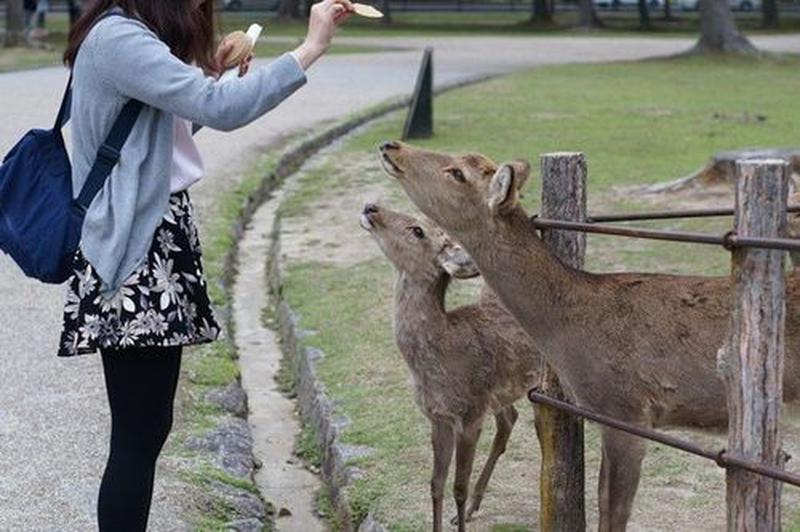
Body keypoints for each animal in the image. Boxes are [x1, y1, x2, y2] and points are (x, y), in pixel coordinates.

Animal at [360, 204, 544, 532]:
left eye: (418, 230)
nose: (371, 208)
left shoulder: (470, 414)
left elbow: (458, 487)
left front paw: (459, 510)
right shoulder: (438, 417)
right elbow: (435, 484)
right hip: (499, 394)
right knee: (509, 418)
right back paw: (472, 508)